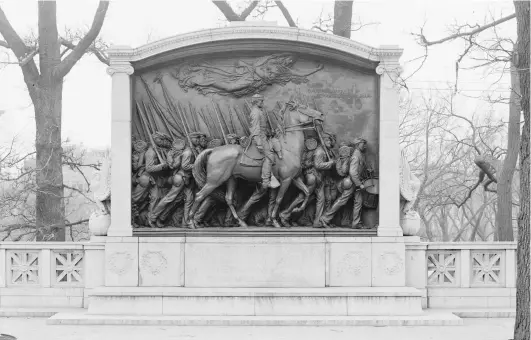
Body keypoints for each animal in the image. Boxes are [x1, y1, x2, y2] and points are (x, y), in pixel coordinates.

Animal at [189, 101, 326, 228]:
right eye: (304, 107)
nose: (321, 115)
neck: (288, 148)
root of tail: (213, 150)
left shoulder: (294, 178)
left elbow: (306, 192)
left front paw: (296, 210)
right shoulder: (286, 180)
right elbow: (279, 200)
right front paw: (275, 221)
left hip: (231, 179)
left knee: (228, 199)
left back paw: (240, 222)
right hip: (214, 181)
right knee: (199, 196)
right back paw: (191, 222)